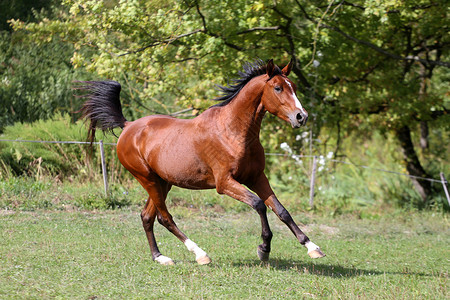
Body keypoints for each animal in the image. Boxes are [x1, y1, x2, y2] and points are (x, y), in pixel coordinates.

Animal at [76, 58, 324, 264]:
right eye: (278, 88)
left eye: (294, 87)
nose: (301, 117)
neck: (233, 132)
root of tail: (128, 126)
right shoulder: (225, 183)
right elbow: (259, 205)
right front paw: (264, 248)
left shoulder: (256, 177)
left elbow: (281, 210)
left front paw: (312, 247)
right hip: (147, 179)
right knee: (165, 217)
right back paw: (200, 254)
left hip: (162, 182)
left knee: (147, 216)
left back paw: (160, 257)